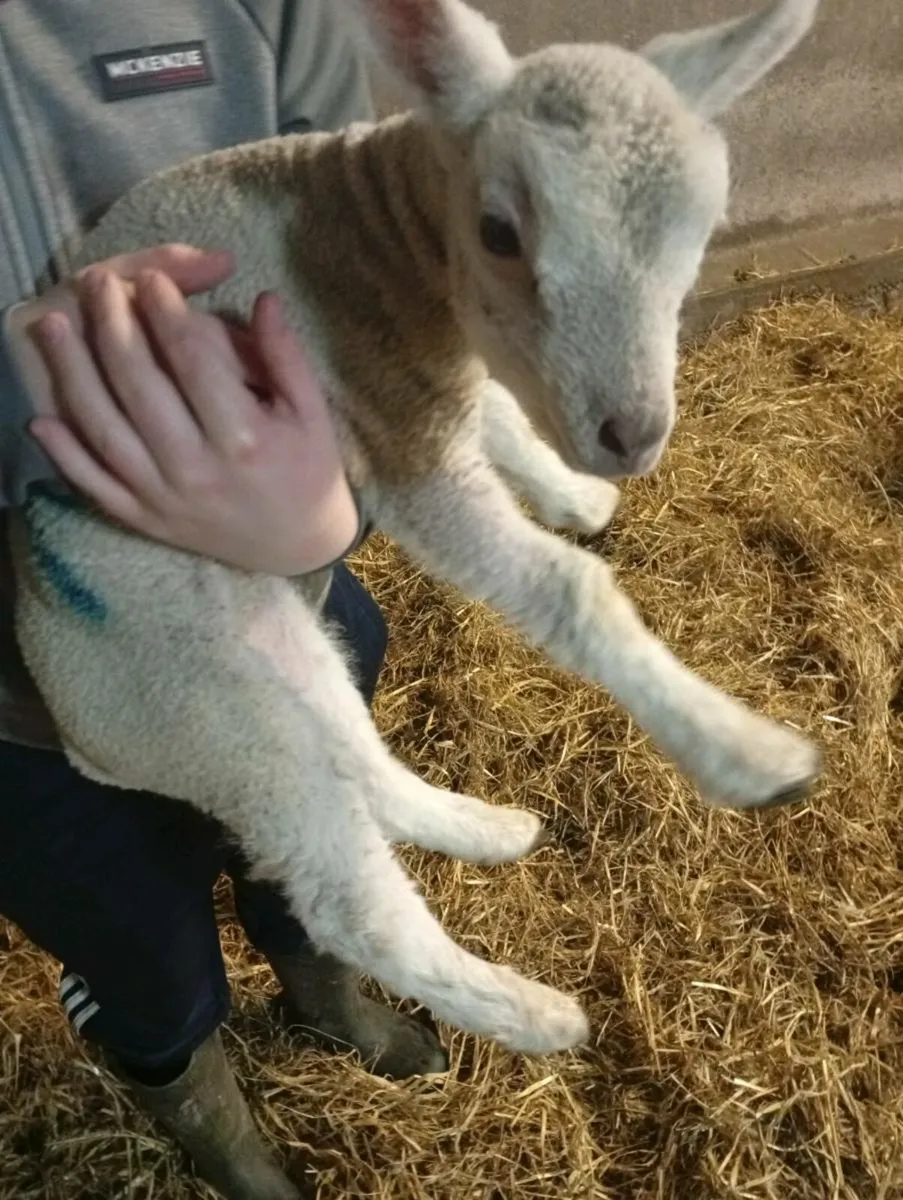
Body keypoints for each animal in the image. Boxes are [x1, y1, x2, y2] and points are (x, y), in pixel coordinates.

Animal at [9, 0, 822, 1057]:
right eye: (499, 231)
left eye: (703, 228)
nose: (631, 435)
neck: (377, 224)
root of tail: (79, 737)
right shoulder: (392, 436)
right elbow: (565, 587)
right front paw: (747, 755)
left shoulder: (430, 390)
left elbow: (501, 417)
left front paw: (577, 498)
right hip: (193, 698)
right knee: (342, 900)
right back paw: (536, 1017)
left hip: (269, 651)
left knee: (358, 758)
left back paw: (490, 830)